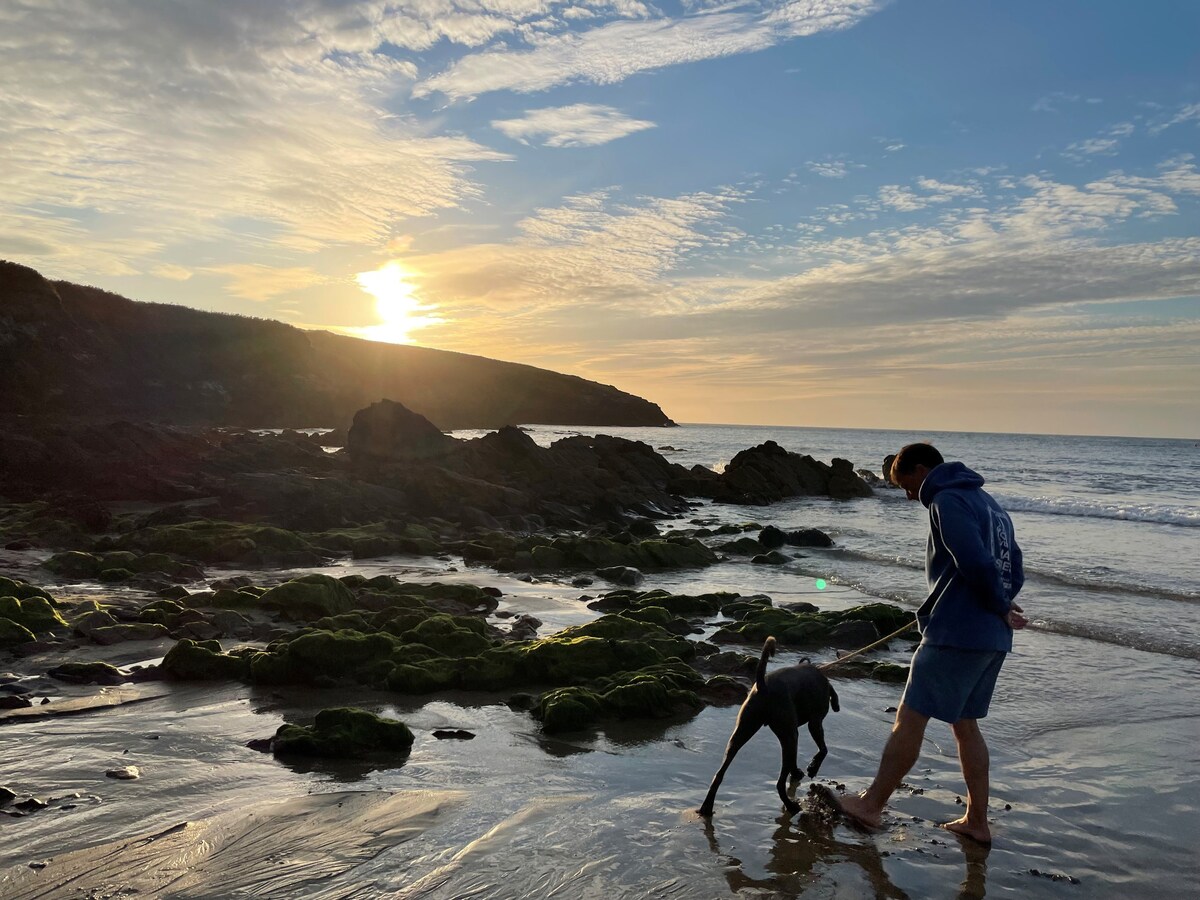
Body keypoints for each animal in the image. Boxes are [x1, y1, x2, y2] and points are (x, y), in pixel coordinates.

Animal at [700, 638, 840, 820]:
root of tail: (762, 685)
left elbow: (795, 759)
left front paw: (797, 772)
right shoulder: (815, 721)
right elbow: (823, 749)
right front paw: (812, 768)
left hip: (743, 732)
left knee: (719, 774)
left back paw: (706, 808)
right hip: (789, 734)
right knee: (779, 784)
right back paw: (791, 806)